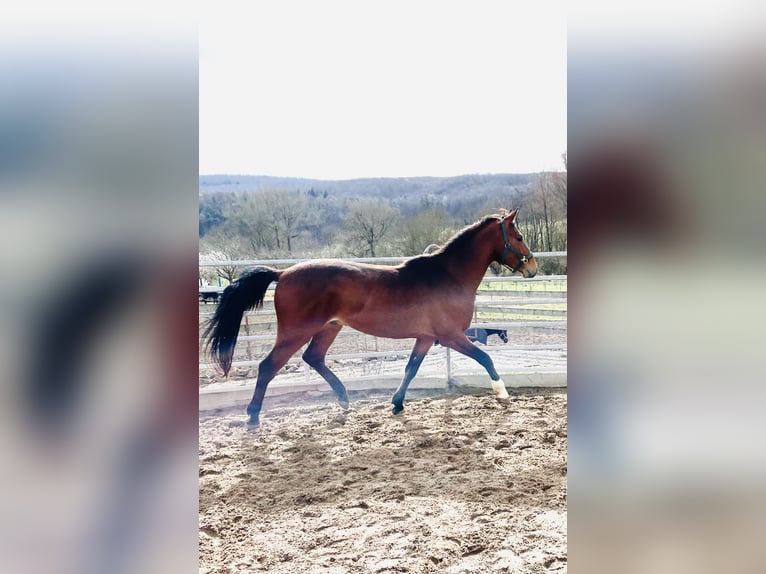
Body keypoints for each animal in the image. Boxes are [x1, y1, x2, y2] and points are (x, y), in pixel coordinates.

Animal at [204, 209, 540, 426]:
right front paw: (502, 392)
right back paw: (253, 416)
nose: (532, 268)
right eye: (519, 236)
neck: (448, 276)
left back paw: (343, 400)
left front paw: (397, 403)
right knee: (268, 366)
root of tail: (282, 273)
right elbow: (485, 358)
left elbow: (411, 368)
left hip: (329, 328)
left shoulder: (426, 337)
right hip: (295, 332)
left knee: (314, 358)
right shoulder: (451, 336)